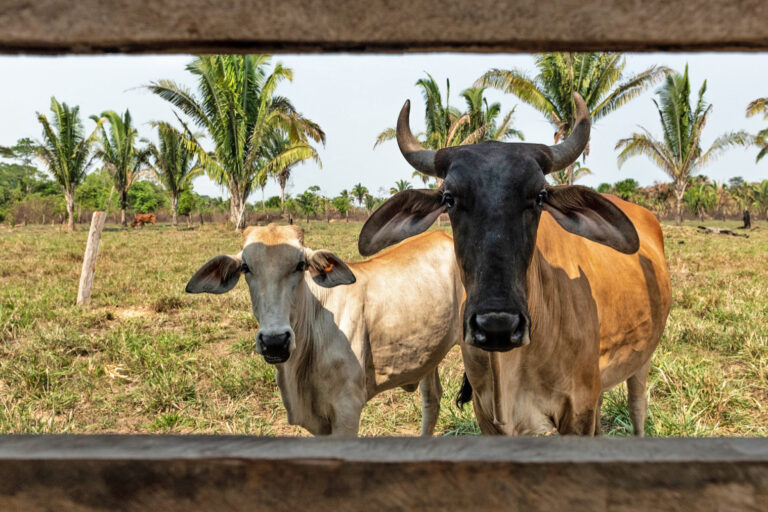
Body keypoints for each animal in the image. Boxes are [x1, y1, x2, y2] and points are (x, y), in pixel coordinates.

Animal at [186, 224, 462, 436]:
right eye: (245, 267)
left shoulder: (348, 410)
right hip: (428, 355)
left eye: (300, 265)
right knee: (432, 400)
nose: (275, 341)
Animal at [364, 93, 668, 436]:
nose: (497, 325)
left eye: (539, 197)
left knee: (637, 407)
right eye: (449, 199)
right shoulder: (486, 414)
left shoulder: (579, 410)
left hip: (641, 361)